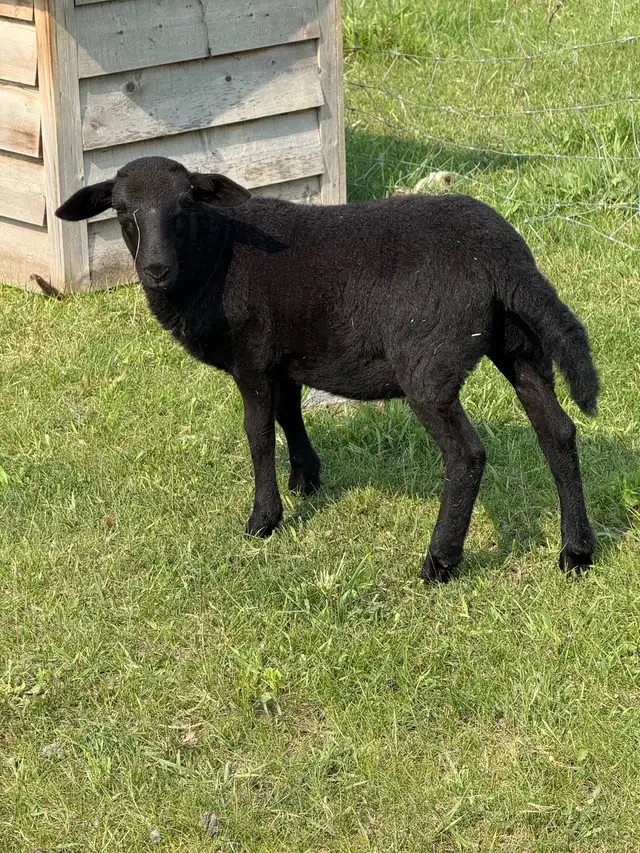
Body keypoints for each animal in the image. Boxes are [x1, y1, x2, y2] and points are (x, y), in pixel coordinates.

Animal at [56, 156, 599, 582]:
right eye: (121, 210)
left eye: (186, 206)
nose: (156, 270)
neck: (214, 256)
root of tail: (504, 258)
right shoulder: (286, 356)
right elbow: (289, 414)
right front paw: (306, 478)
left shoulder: (252, 357)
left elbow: (258, 433)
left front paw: (264, 519)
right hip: (520, 345)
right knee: (558, 433)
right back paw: (576, 552)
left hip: (429, 362)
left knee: (467, 456)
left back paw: (439, 562)